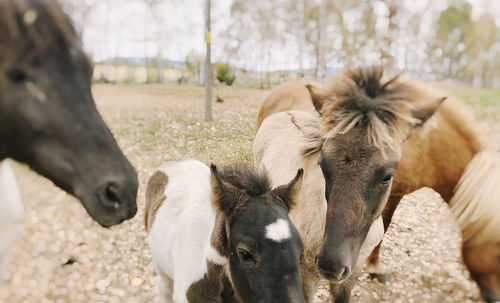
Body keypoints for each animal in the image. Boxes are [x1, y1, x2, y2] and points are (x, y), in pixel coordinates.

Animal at [256, 75, 500, 302]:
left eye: (387, 176)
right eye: (323, 165)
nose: (331, 264)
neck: (427, 148)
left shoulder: (394, 194)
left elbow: (385, 223)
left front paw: (376, 267)